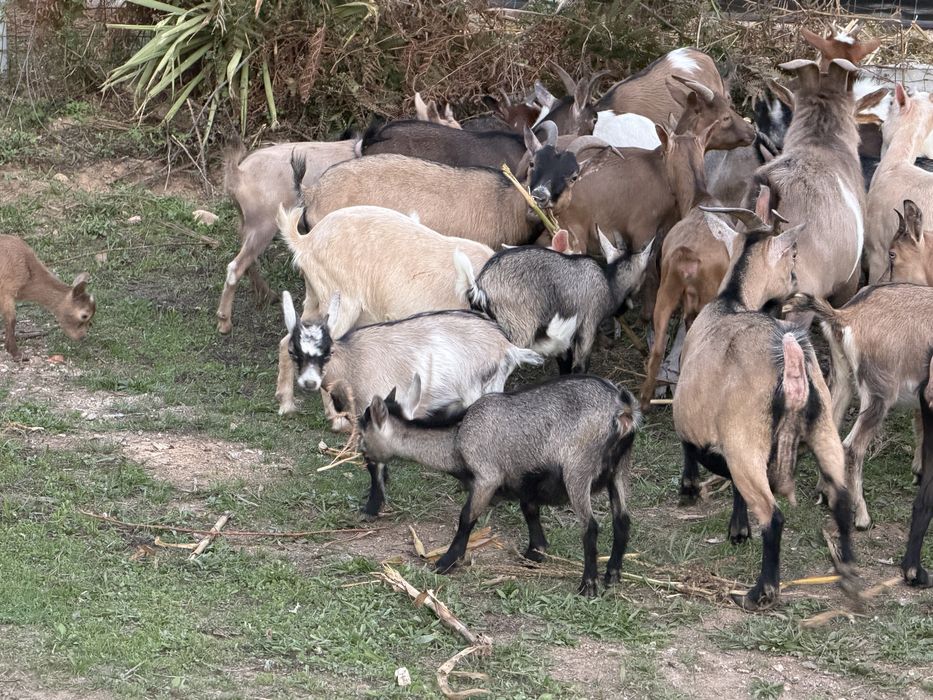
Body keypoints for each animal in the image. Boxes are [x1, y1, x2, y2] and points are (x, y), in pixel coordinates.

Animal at [215, 135, 357, 334]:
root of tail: (238, 173)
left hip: (246, 223)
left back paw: (268, 295)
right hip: (264, 225)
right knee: (235, 267)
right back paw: (225, 321)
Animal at [359, 374, 640, 596]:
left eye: (363, 434)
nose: (364, 458)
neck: (456, 438)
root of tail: (621, 408)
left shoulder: (487, 477)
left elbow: (466, 517)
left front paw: (445, 562)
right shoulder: (524, 478)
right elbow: (530, 510)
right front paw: (535, 552)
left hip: (577, 470)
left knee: (590, 526)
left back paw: (588, 585)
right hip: (620, 470)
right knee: (622, 520)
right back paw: (612, 573)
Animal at [454, 231, 653, 374]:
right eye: (644, 275)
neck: (608, 281)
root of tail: (479, 288)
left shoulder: (564, 339)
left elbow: (564, 365)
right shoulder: (588, 326)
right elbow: (579, 368)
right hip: (517, 331)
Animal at [673, 201, 859, 611]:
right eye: (792, 256)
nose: (795, 281)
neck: (730, 300)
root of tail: (789, 361)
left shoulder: (697, 421)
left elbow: (692, 450)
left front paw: (690, 490)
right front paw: (738, 528)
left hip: (747, 441)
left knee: (773, 517)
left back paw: (760, 593)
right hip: (823, 426)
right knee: (840, 497)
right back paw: (848, 572)